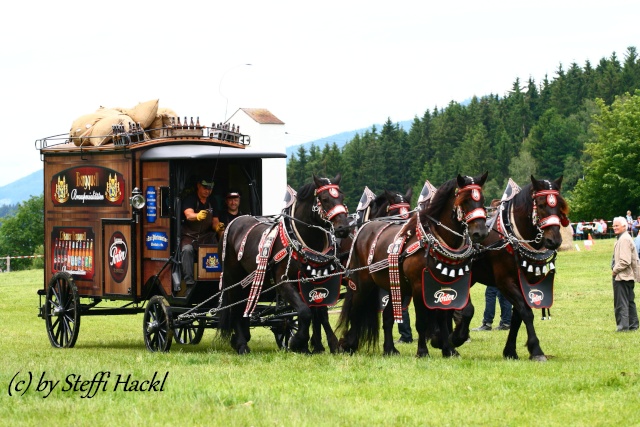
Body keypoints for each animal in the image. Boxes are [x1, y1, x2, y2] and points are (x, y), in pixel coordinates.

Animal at [219, 174, 352, 354]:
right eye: (324, 199)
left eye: (342, 197)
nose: (343, 228)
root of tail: (233, 223)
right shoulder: (284, 284)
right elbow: (305, 312)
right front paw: (297, 342)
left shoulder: (314, 283)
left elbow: (319, 313)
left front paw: (323, 345)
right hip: (233, 277)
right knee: (234, 308)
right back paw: (241, 344)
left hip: (248, 281)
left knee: (244, 307)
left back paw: (242, 338)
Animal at [310, 187, 416, 354]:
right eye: (396, 215)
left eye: (410, 215)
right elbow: (355, 310)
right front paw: (348, 343)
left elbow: (388, 315)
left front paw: (390, 348)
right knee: (318, 311)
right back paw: (319, 345)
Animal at [338, 173, 488, 358]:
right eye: (465, 200)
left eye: (482, 200)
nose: (480, 232)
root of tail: (364, 229)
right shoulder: (418, 287)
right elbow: (422, 321)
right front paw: (423, 351)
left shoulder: (445, 284)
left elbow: (443, 318)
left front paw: (449, 348)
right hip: (363, 284)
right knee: (356, 310)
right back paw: (349, 345)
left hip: (393, 285)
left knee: (387, 317)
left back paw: (389, 349)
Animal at [452, 176, 568, 362]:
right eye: (541, 205)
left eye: (559, 205)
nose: (554, 240)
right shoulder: (505, 282)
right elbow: (526, 312)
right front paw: (536, 350)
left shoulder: (525, 282)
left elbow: (517, 316)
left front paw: (510, 351)